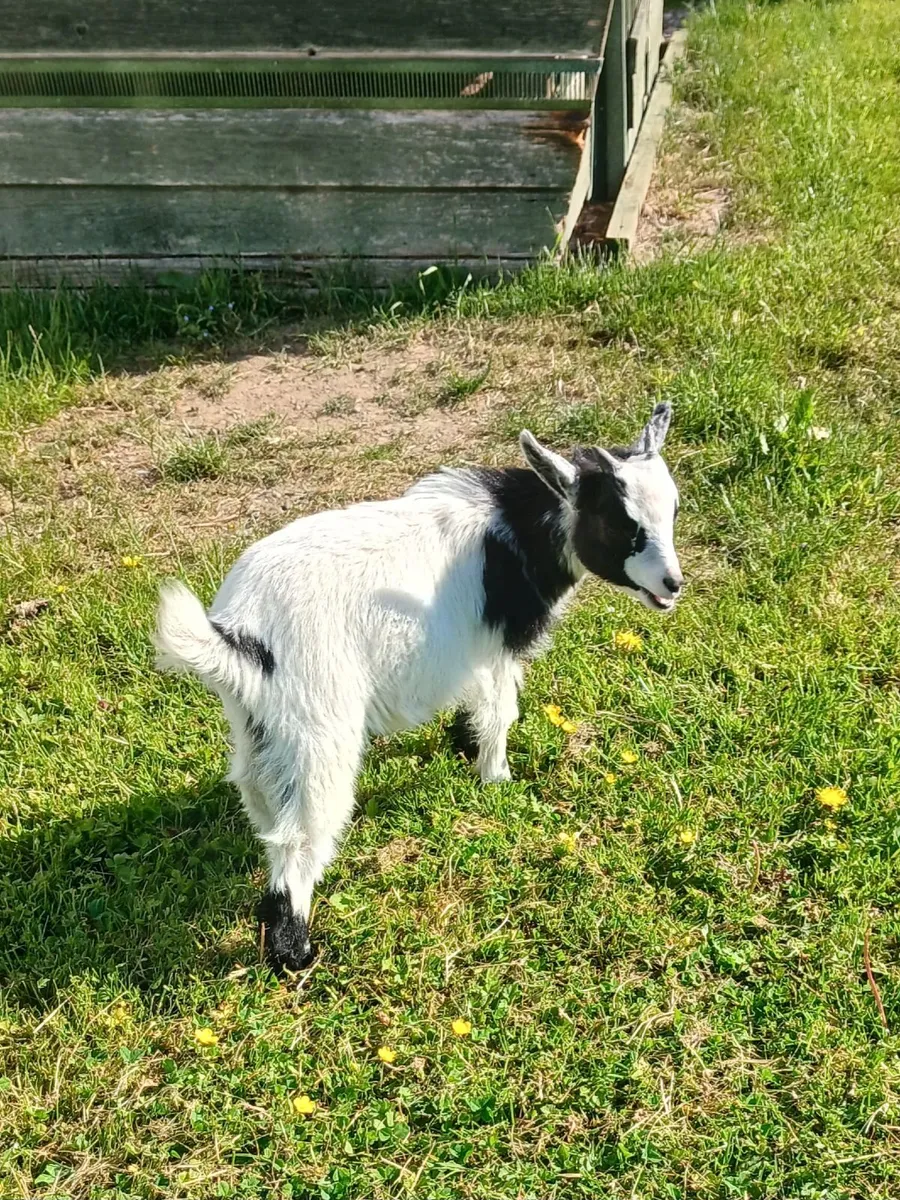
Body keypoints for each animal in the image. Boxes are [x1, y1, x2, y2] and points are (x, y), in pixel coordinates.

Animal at [155, 403, 683, 974]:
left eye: (673, 510)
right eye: (620, 522)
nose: (672, 585)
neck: (518, 531)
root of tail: (241, 632)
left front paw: (463, 743)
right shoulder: (495, 649)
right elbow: (501, 710)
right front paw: (496, 777)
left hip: (260, 719)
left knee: (258, 792)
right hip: (320, 721)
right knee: (302, 832)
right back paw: (295, 952)